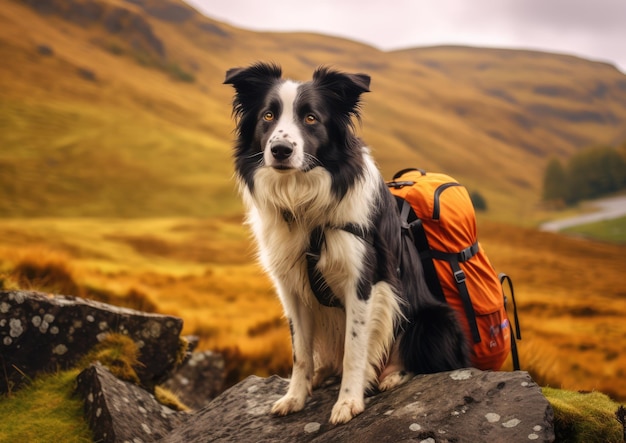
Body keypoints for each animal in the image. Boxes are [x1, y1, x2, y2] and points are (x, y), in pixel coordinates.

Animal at [224, 61, 468, 424]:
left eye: (311, 118)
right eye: (268, 116)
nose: (280, 150)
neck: (303, 203)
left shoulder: (363, 281)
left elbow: (355, 348)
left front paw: (348, 402)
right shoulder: (291, 289)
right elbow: (300, 352)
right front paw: (295, 397)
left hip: (434, 321)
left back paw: (391, 375)